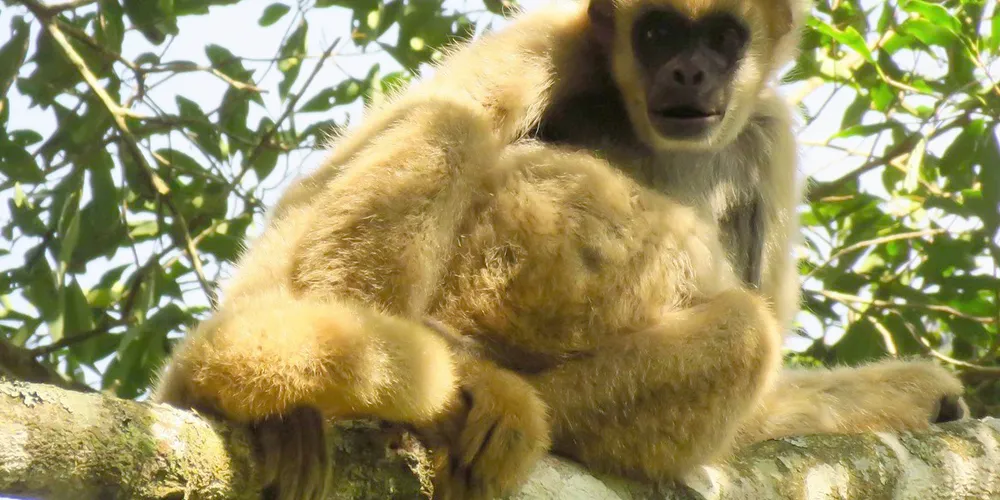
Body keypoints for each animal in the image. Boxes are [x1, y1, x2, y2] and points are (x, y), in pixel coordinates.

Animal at [153, 0, 968, 499]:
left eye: (722, 37)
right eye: (659, 33)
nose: (690, 70)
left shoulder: (769, 137)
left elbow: (759, 402)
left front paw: (929, 402)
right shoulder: (555, 37)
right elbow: (327, 177)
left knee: (743, 331)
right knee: (451, 121)